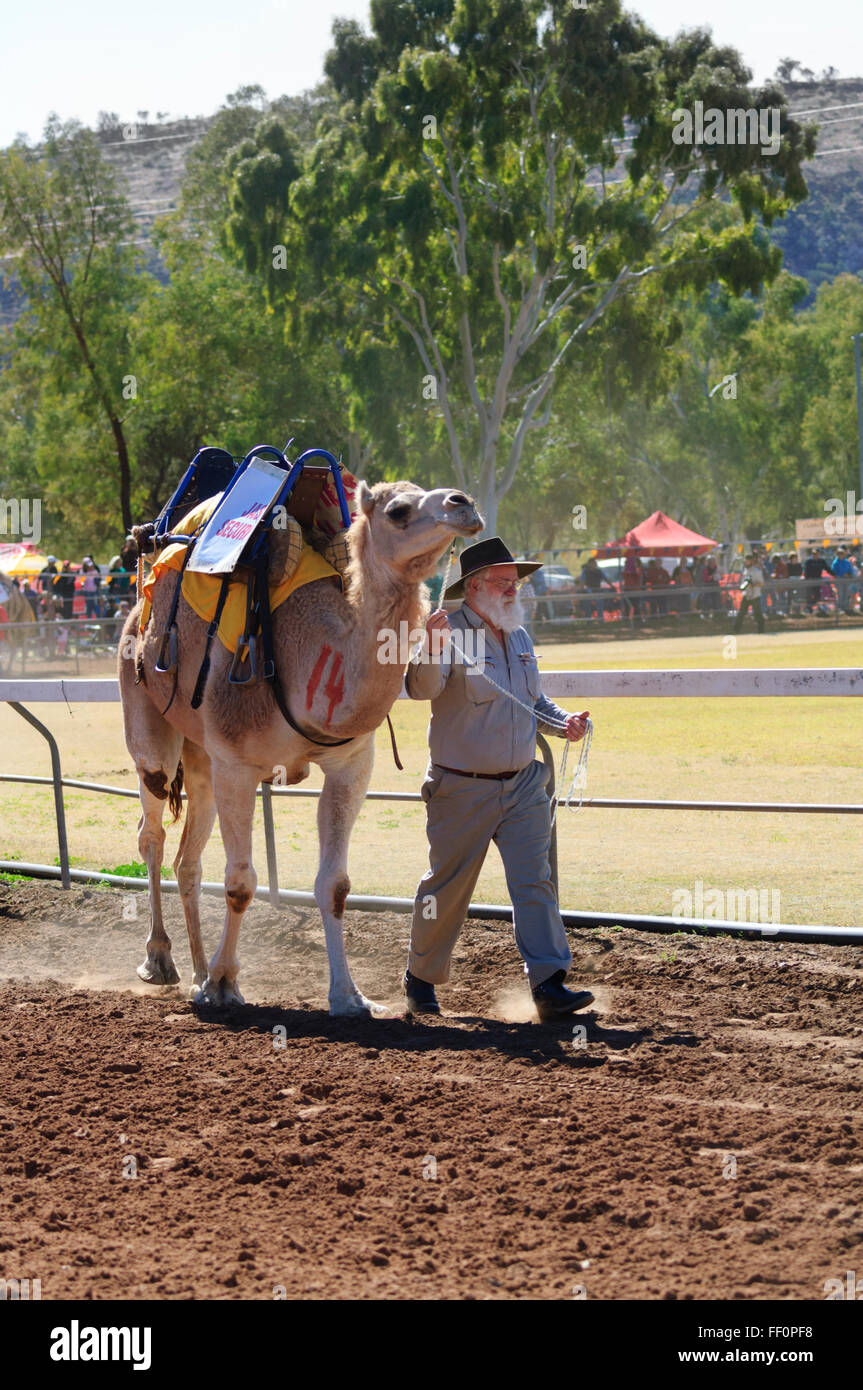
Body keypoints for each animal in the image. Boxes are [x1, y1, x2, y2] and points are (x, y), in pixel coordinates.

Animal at [118, 478, 480, 1011]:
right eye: (397, 510)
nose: (463, 503)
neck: (305, 651)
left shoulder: (352, 762)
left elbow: (335, 886)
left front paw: (350, 996)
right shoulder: (237, 763)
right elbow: (240, 882)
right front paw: (225, 984)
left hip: (201, 755)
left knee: (188, 858)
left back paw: (197, 972)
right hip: (146, 712)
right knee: (152, 830)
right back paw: (161, 961)